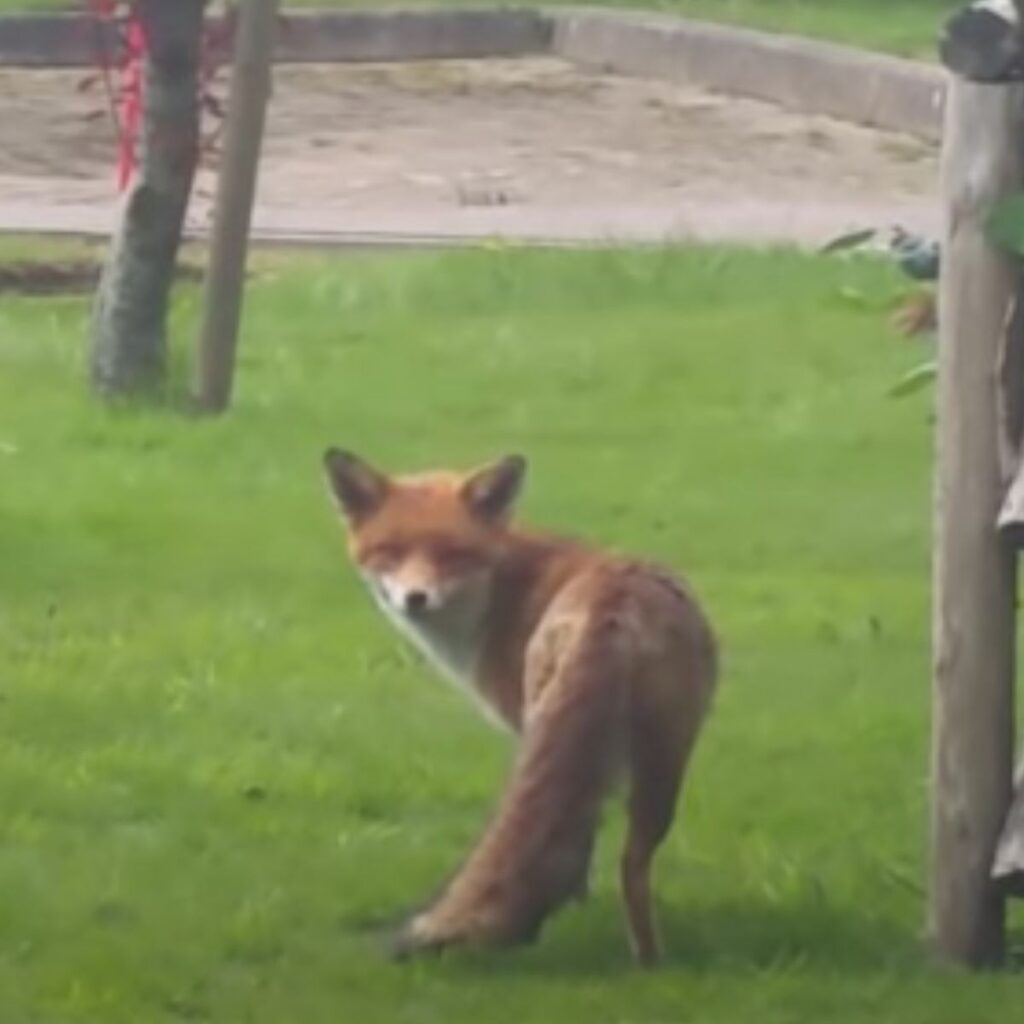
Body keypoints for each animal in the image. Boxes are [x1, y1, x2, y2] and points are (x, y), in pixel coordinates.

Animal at [323, 450, 716, 966]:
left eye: (453, 554)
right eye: (389, 550)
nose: (416, 599)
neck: (500, 591)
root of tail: (614, 607)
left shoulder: (525, 723)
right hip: (664, 758)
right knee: (631, 859)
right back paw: (647, 958)